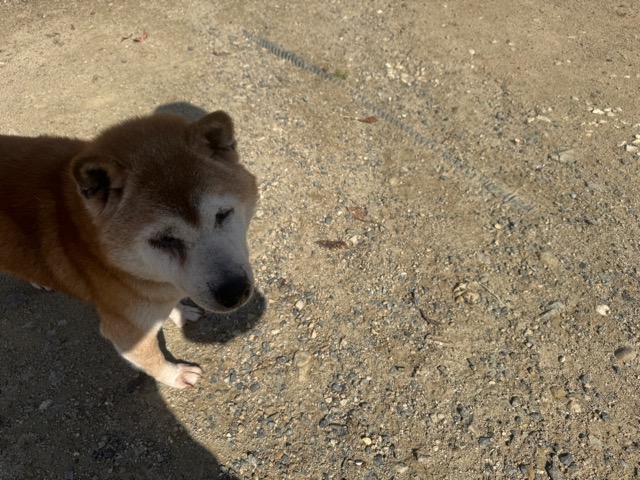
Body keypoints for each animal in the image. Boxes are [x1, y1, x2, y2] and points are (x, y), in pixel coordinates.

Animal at [0, 110, 258, 389]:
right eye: (164, 240)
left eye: (222, 214)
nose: (234, 291)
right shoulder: (126, 332)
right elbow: (154, 361)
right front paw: (176, 375)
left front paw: (179, 312)